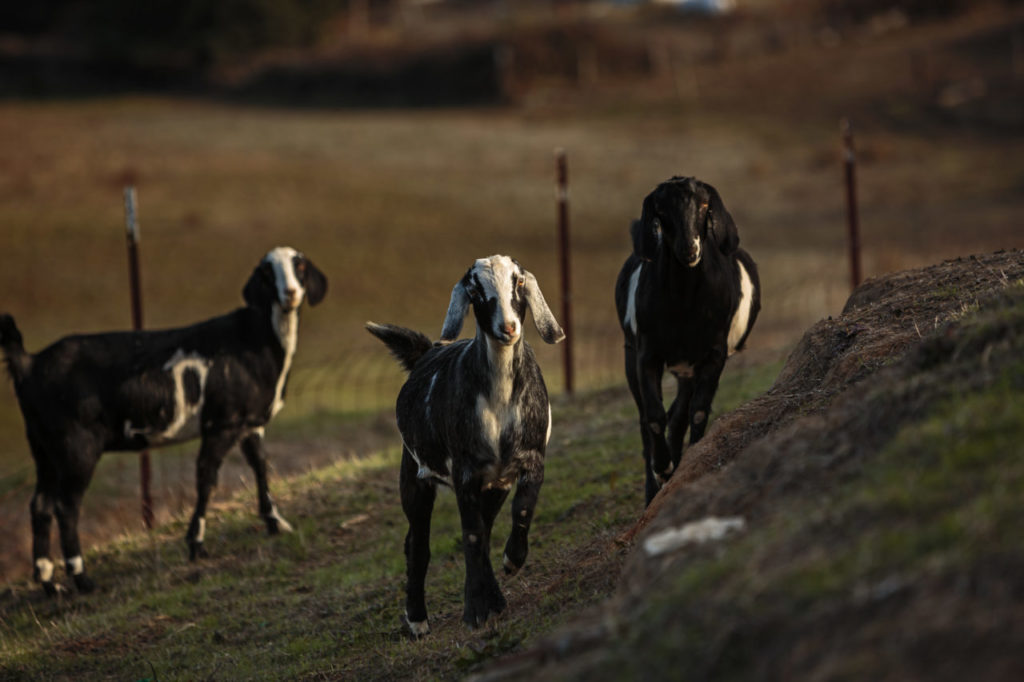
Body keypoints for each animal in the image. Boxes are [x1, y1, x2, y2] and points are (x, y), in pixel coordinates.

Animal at [0, 246, 327, 595]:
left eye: (300, 266)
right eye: (267, 272)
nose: (290, 293)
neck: (254, 341)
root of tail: (29, 363)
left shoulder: (250, 423)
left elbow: (261, 467)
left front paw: (276, 523)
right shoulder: (222, 423)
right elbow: (206, 478)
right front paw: (196, 544)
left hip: (43, 445)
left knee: (40, 504)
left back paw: (49, 583)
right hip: (76, 445)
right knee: (66, 507)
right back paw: (82, 579)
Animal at [366, 254, 564, 635]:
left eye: (518, 282)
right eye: (475, 290)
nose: (509, 327)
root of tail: (426, 353)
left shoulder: (529, 462)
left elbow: (520, 511)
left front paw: (512, 562)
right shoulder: (465, 472)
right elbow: (471, 535)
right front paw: (474, 612)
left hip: (493, 484)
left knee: (483, 529)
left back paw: (496, 598)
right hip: (414, 475)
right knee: (417, 544)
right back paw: (417, 619)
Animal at [614, 177, 760, 505]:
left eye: (705, 205)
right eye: (661, 209)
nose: (689, 249)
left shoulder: (714, 354)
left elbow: (698, 411)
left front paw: (690, 461)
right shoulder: (646, 354)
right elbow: (654, 416)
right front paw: (663, 468)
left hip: (688, 368)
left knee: (681, 412)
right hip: (634, 354)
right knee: (647, 419)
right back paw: (655, 486)